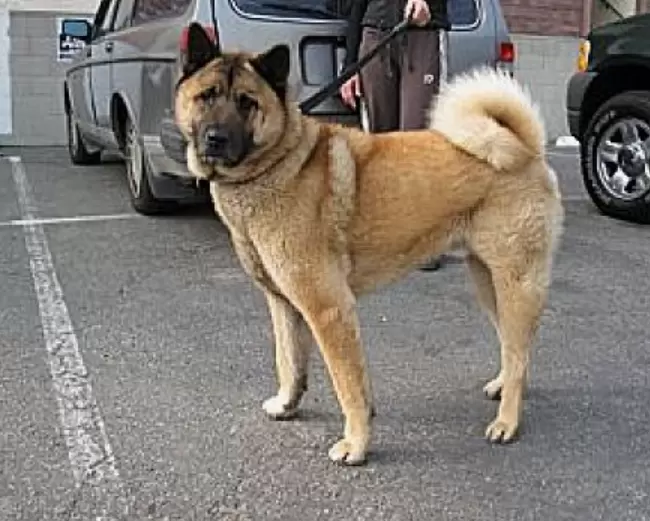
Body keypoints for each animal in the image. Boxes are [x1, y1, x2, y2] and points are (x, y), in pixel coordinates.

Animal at [172, 22, 560, 466]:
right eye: (207, 96)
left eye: (246, 102)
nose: (215, 138)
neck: (279, 162)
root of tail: (526, 147)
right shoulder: (284, 304)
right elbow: (289, 361)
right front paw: (287, 405)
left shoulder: (329, 310)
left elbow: (347, 387)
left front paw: (356, 443)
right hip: (487, 282)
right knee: (516, 350)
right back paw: (503, 386)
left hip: (515, 284)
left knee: (518, 351)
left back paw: (507, 421)